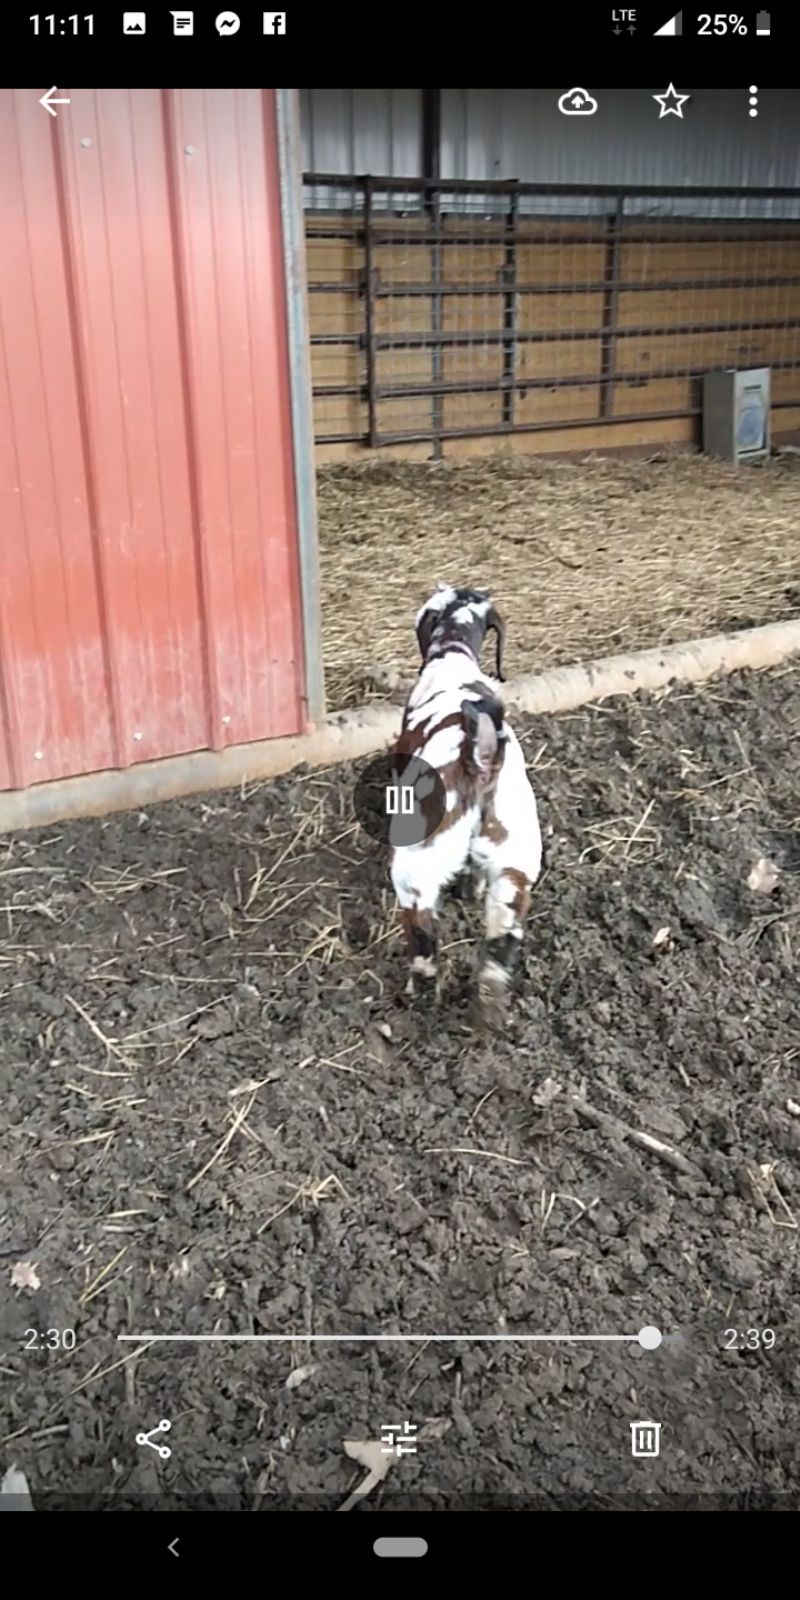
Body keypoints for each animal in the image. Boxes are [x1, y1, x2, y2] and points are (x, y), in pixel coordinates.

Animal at [388, 585, 544, 1024]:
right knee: (498, 951)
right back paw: (487, 1017)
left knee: (423, 942)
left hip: (415, 870)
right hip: (513, 871)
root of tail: (481, 761)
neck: (454, 654)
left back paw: (416, 1000)